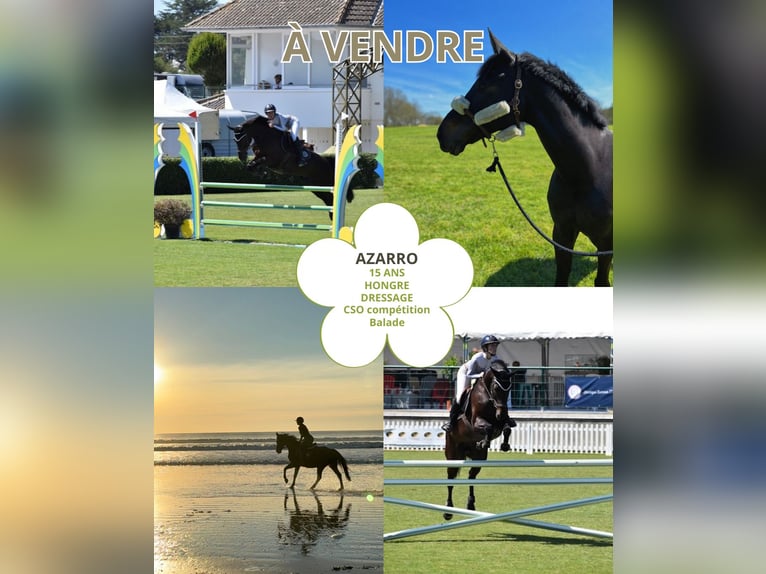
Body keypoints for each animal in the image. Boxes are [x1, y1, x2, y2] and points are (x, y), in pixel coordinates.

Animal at [443, 358, 515, 520]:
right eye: (496, 387)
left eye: (508, 389)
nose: (501, 413)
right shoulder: (476, 422)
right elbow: (488, 427)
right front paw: (484, 441)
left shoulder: (501, 421)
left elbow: (507, 427)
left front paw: (504, 446)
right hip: (453, 455)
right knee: (451, 478)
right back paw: (448, 510)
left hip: (479, 458)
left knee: (471, 476)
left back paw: (470, 504)